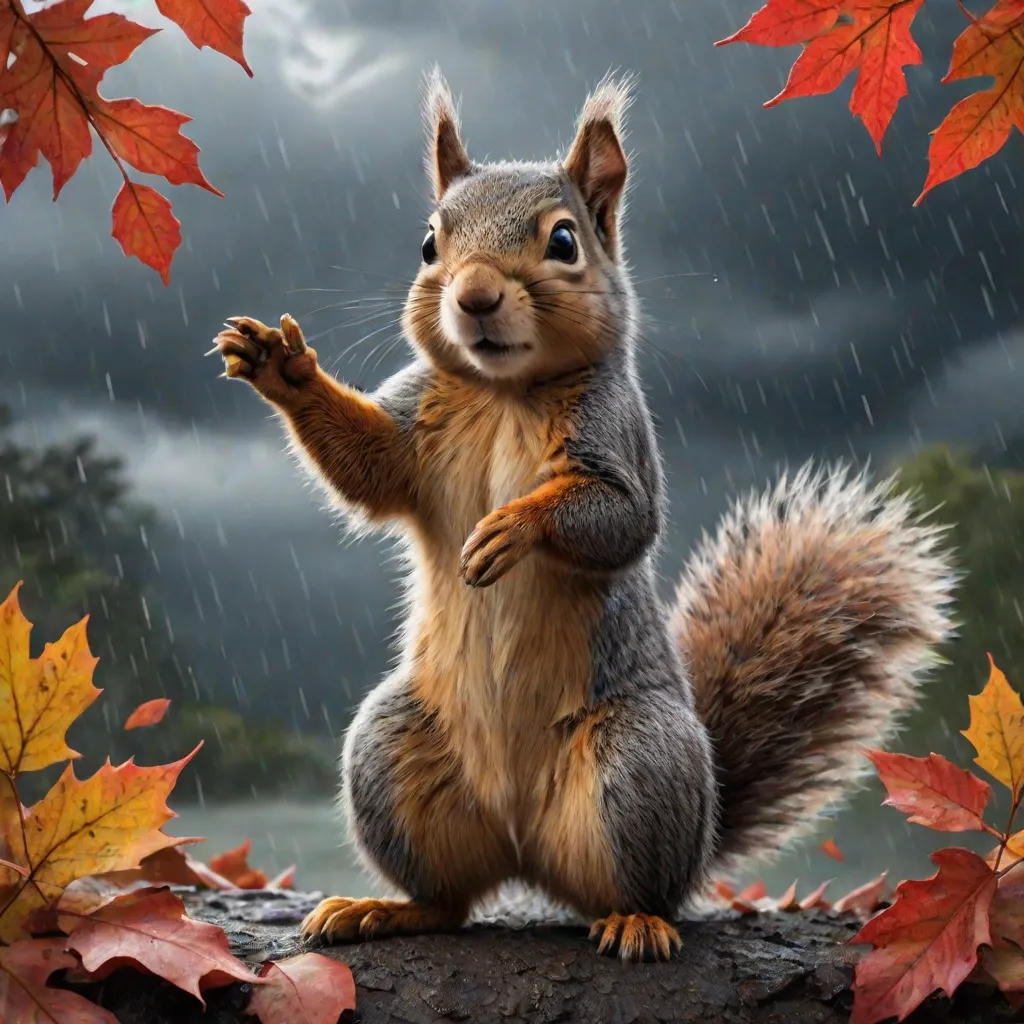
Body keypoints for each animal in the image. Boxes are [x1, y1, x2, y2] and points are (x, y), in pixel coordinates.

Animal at [211, 70, 955, 962]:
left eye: (564, 242)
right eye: (429, 246)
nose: (475, 296)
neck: (505, 393)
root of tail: (527, 855)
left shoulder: (620, 440)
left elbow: (620, 518)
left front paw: (514, 526)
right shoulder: (414, 425)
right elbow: (369, 467)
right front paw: (281, 366)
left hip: (638, 764)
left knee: (646, 888)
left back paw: (636, 921)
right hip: (389, 752)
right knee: (450, 901)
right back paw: (385, 910)